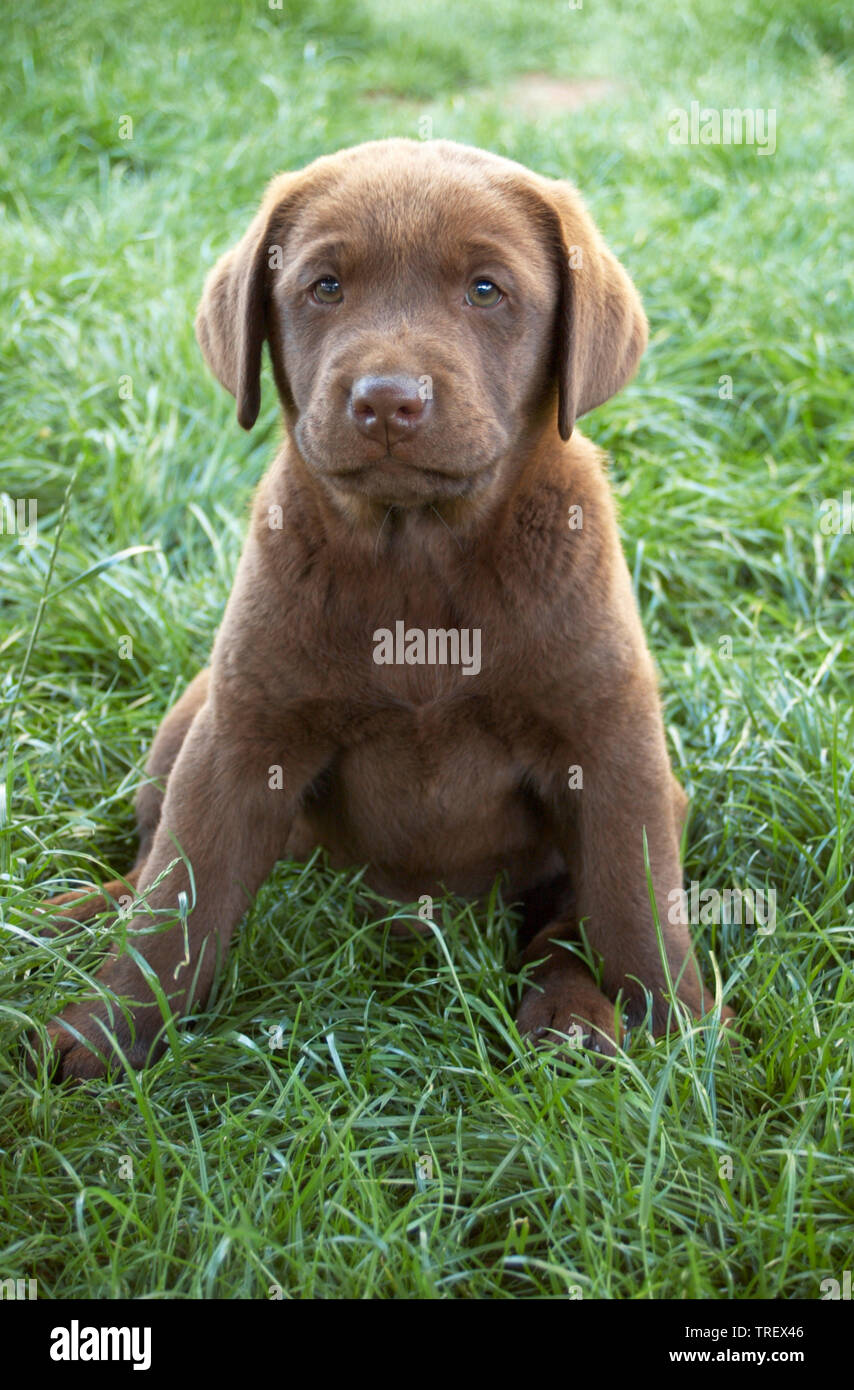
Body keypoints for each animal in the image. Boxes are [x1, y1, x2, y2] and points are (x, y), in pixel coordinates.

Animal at [38, 138, 734, 1073]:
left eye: (486, 289)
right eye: (325, 286)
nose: (387, 401)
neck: (419, 554)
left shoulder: (611, 734)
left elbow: (633, 901)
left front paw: (682, 1039)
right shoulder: (244, 732)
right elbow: (179, 897)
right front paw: (107, 1034)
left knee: (562, 918)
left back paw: (571, 1016)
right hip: (195, 710)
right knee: (146, 860)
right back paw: (69, 913)